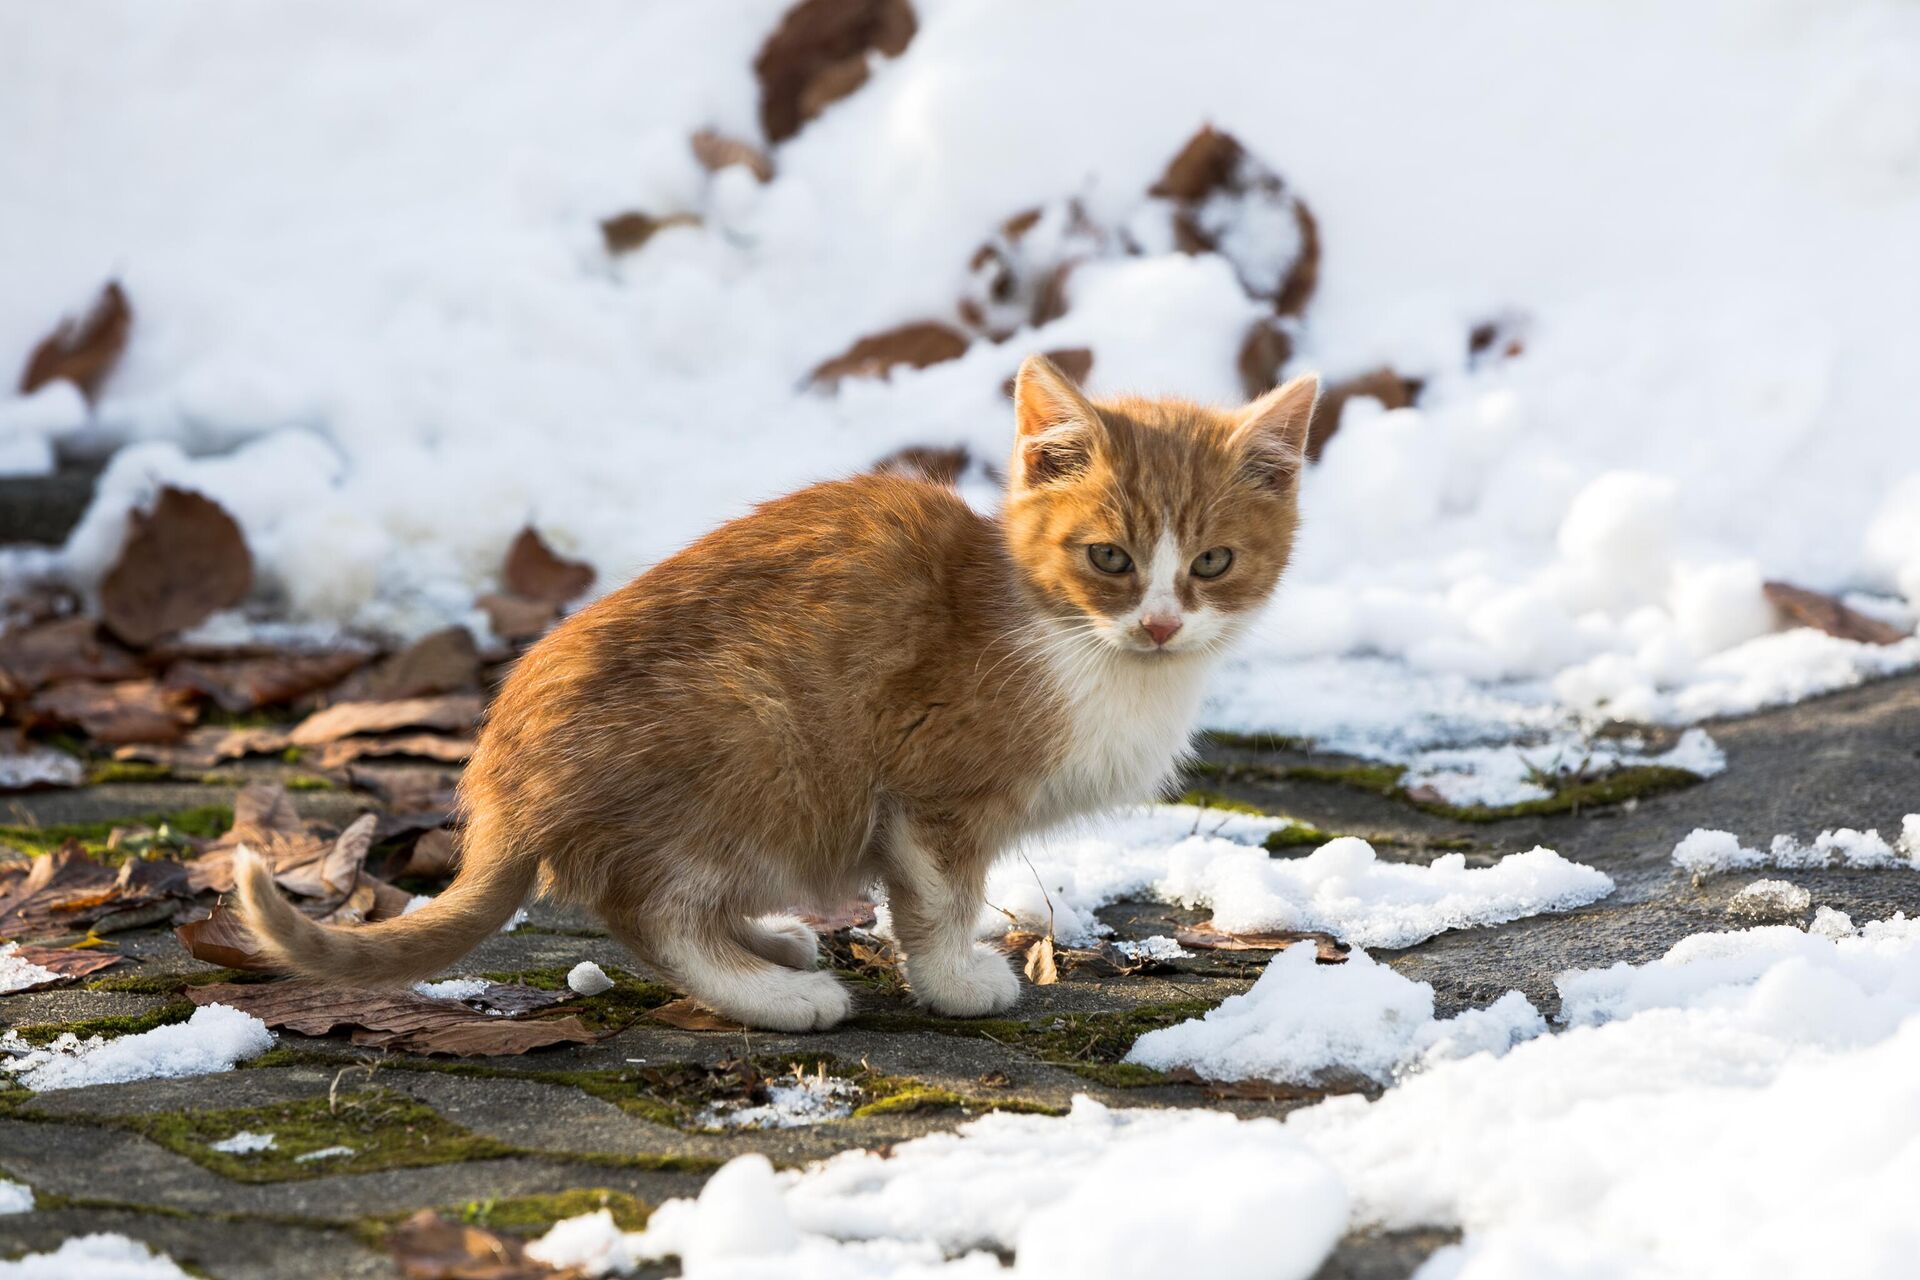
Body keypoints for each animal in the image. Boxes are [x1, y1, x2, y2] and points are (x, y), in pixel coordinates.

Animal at [236, 353, 1320, 1028]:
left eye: (1213, 562)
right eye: (1109, 558)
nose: (1162, 622)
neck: (1072, 639)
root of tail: (501, 786)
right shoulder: (931, 785)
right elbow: (939, 897)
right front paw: (955, 978)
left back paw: (770, 941)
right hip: (758, 733)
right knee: (652, 908)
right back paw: (773, 994)